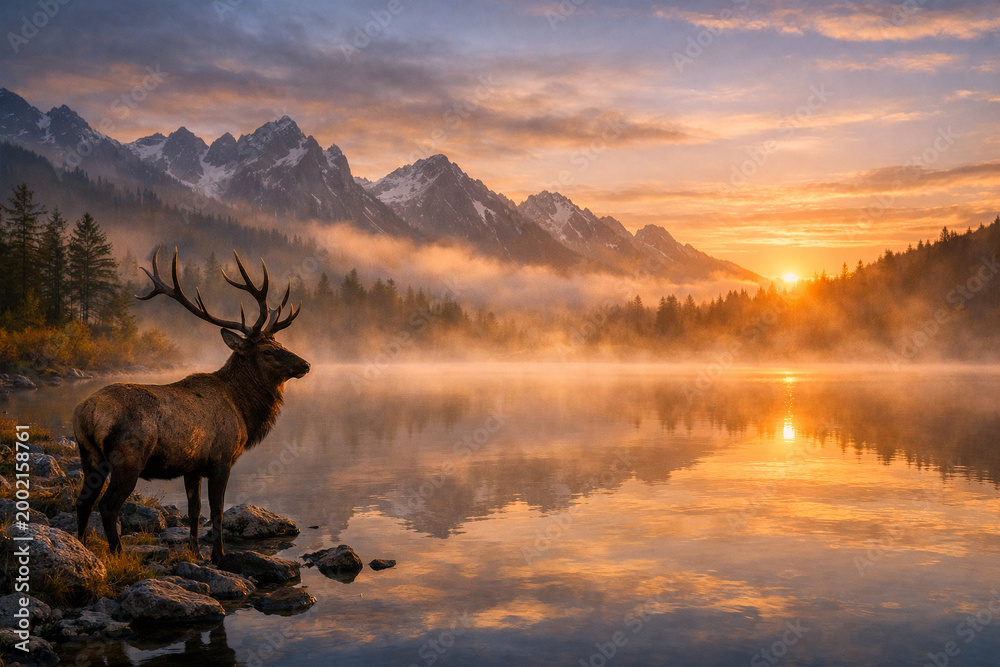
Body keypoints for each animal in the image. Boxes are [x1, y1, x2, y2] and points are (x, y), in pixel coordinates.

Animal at [73, 246, 310, 564]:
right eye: (268, 351)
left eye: (281, 343)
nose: (306, 364)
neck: (243, 410)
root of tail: (86, 412)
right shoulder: (221, 459)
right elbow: (217, 509)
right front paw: (218, 555)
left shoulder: (192, 465)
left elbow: (194, 510)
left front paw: (195, 551)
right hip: (128, 458)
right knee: (108, 506)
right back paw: (118, 554)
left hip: (89, 455)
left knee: (83, 501)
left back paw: (82, 548)